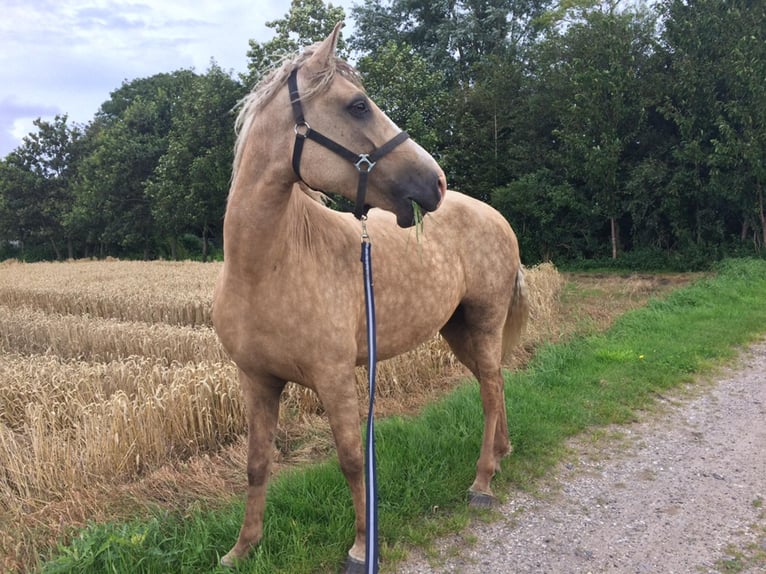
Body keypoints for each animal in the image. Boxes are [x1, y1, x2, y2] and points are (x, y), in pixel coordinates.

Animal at [213, 21, 532, 572]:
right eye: (357, 105)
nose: (435, 182)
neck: (266, 267)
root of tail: (495, 216)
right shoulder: (256, 380)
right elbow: (256, 464)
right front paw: (242, 548)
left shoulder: (335, 379)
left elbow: (350, 458)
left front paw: (362, 546)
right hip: (458, 331)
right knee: (494, 385)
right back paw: (502, 452)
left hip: (485, 322)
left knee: (491, 389)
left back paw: (483, 482)